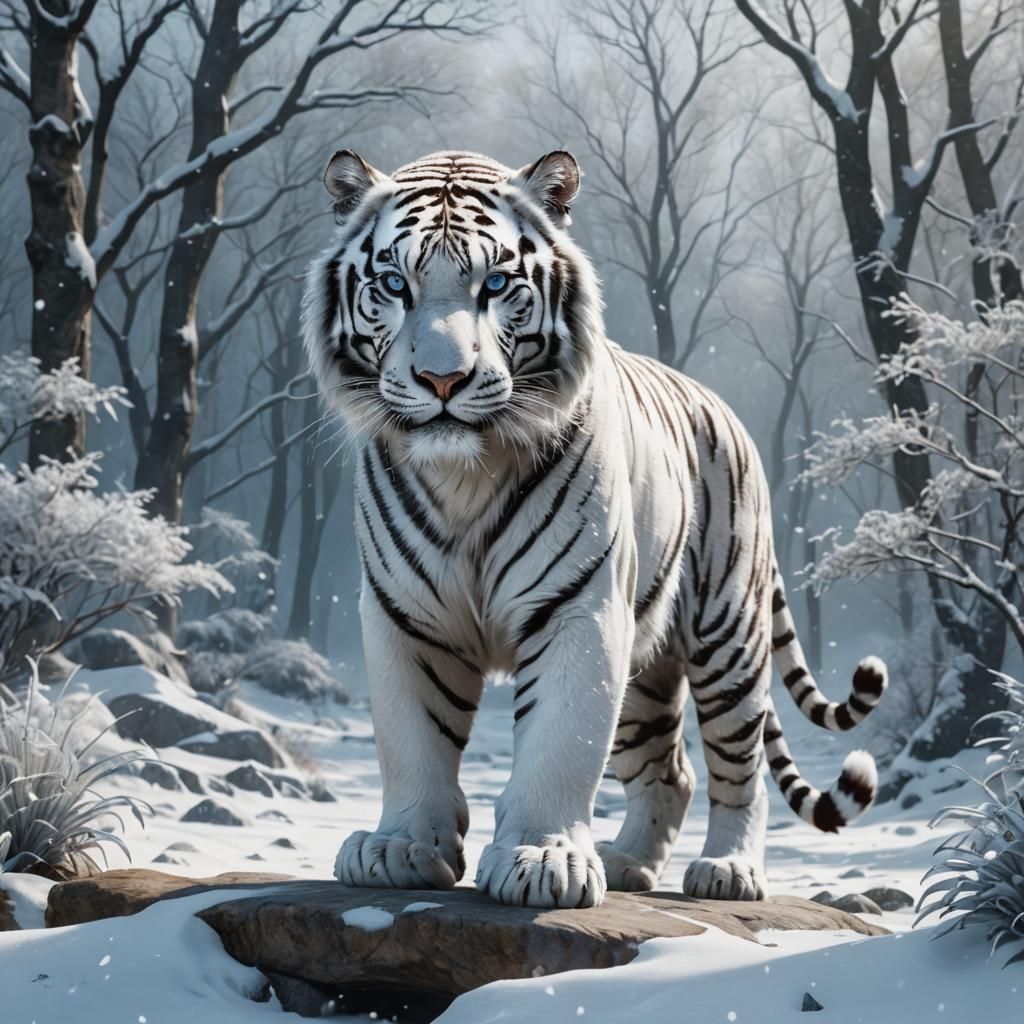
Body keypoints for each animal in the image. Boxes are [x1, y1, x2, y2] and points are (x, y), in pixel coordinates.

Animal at [302, 148, 887, 908]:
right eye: (395, 284)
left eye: (496, 284)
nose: (442, 380)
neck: (466, 474)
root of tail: (725, 410)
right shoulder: (407, 614)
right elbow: (412, 737)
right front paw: (400, 847)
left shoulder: (577, 608)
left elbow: (560, 740)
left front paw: (542, 860)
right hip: (644, 673)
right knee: (672, 773)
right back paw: (627, 863)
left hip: (727, 638)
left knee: (739, 768)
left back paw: (728, 871)